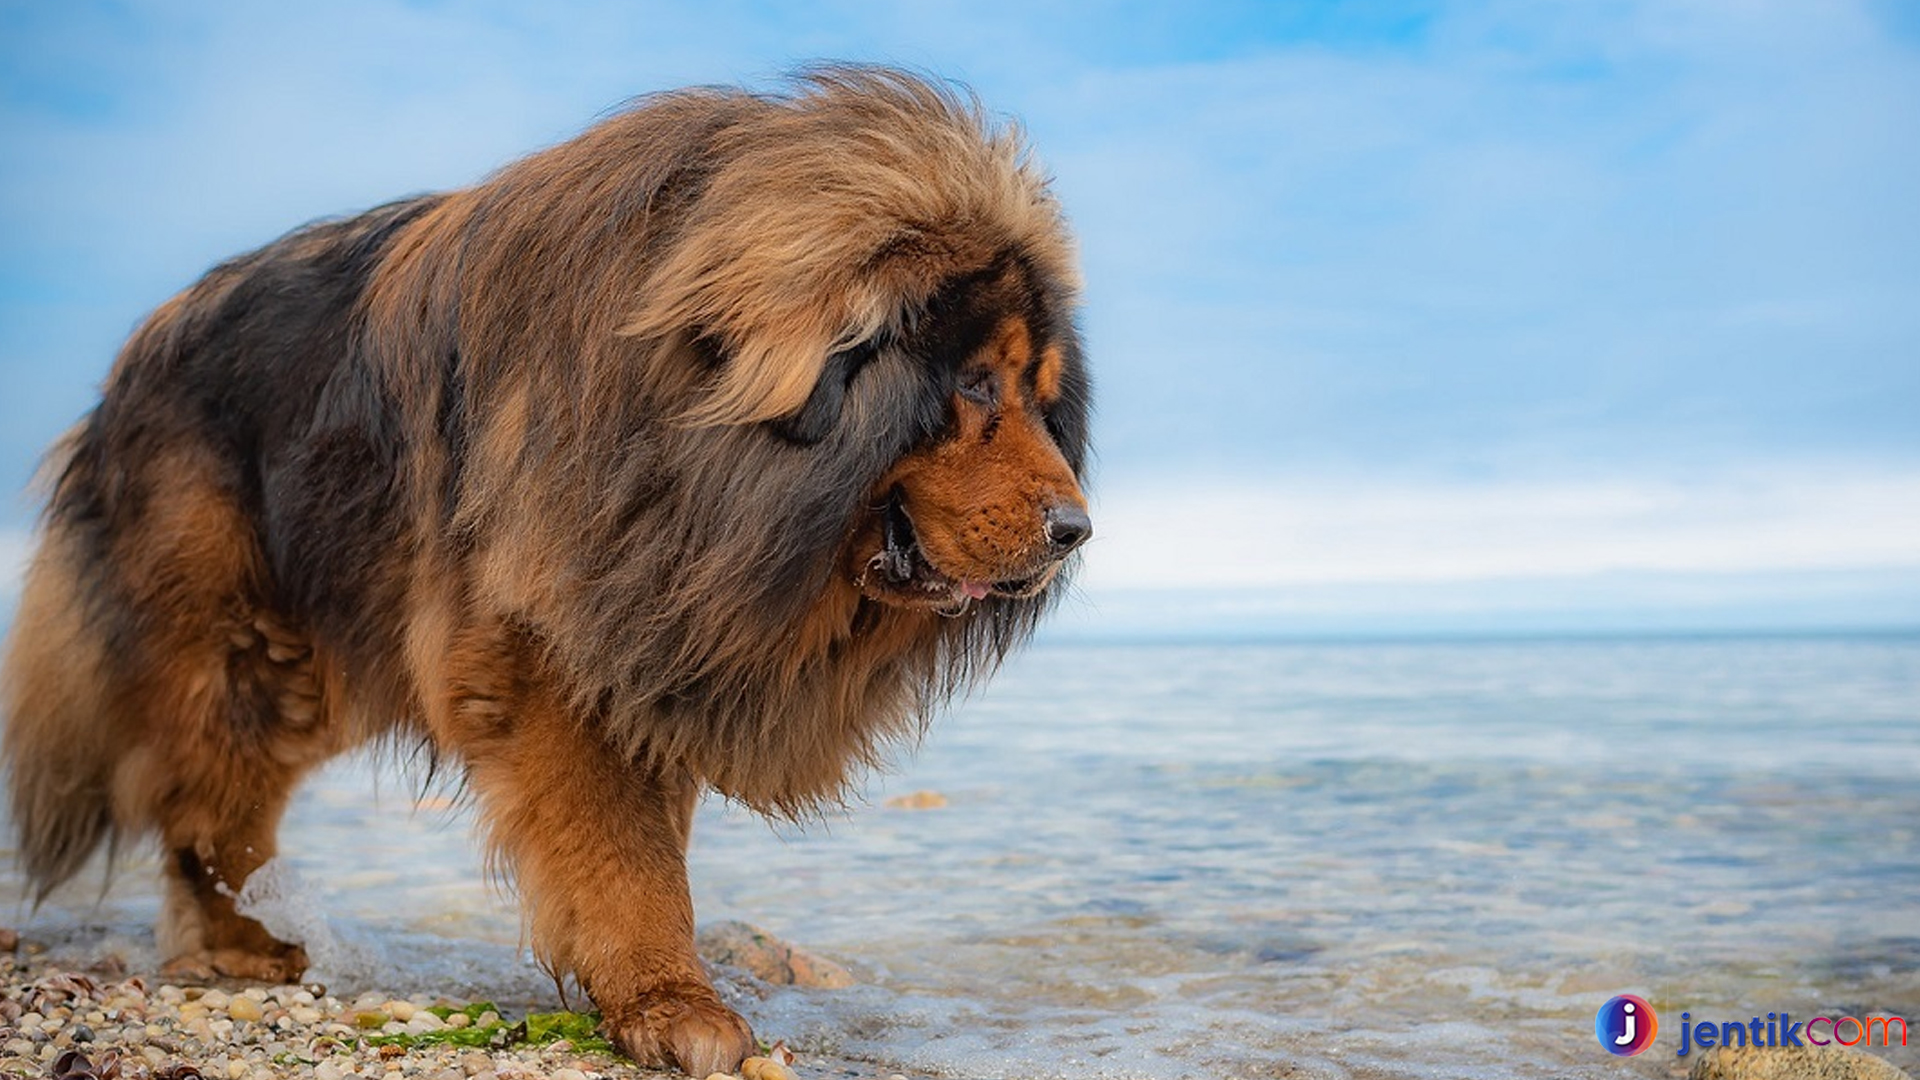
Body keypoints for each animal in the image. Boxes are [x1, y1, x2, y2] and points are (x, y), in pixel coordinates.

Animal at [0, 65, 1090, 1068]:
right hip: (239, 643)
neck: (685, 455)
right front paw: (670, 1002)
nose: (1077, 529)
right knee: (206, 807)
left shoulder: (646, 653)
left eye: (1040, 395)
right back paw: (236, 945)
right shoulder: (553, 658)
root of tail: (130, 360)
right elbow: (624, 856)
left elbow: (643, 845)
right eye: (974, 384)